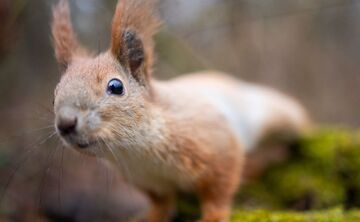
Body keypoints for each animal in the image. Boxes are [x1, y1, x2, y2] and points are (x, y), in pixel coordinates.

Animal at [50, 0, 310, 221]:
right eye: (55, 92)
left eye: (115, 87)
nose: (65, 123)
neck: (135, 152)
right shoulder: (148, 181)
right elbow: (161, 203)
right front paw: (151, 217)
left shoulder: (216, 145)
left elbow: (219, 190)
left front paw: (213, 216)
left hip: (276, 114)